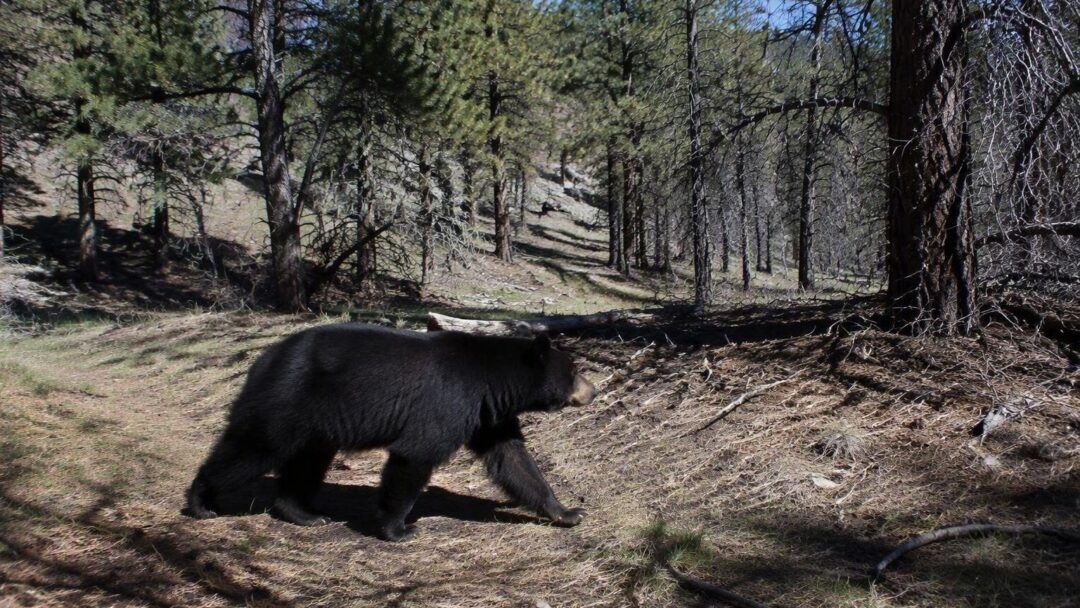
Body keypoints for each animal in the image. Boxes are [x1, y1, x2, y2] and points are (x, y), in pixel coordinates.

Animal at [184, 323, 595, 541]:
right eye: (575, 370)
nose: (593, 391)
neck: (492, 381)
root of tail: (263, 358)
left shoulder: (487, 416)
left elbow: (512, 459)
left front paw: (567, 512)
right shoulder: (448, 400)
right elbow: (416, 454)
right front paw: (399, 528)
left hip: (314, 422)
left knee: (307, 462)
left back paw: (302, 512)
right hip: (286, 400)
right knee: (253, 448)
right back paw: (201, 501)